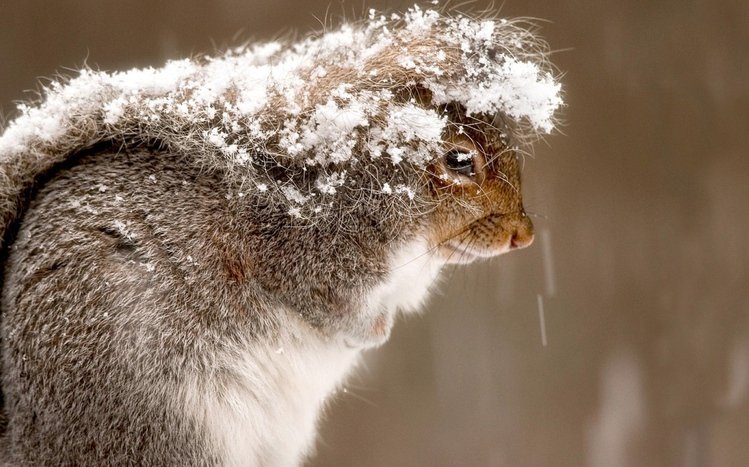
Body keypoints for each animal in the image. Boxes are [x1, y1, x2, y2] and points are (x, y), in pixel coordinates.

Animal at [0, 4, 562, 466]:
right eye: (460, 160)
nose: (524, 235)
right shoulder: (298, 253)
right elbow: (329, 306)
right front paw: (372, 332)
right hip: (159, 425)